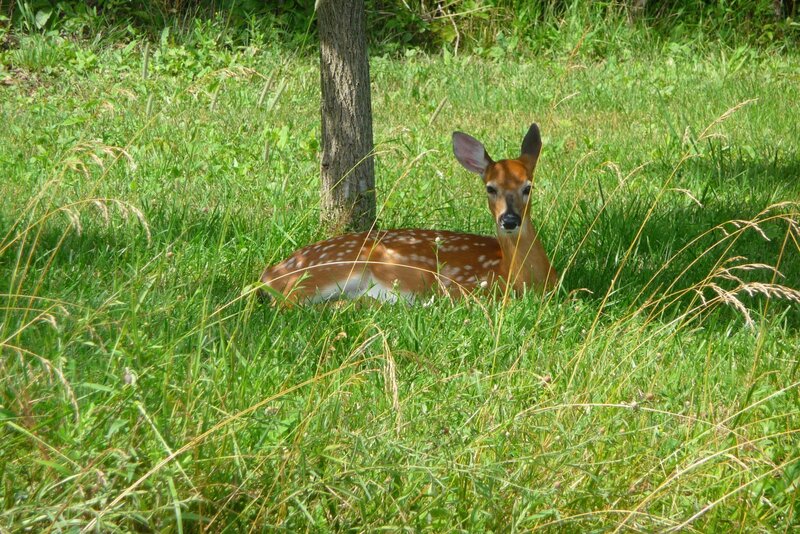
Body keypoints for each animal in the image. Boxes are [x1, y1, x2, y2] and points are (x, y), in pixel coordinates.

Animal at [259, 124, 558, 304]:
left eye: (528, 187)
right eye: (490, 188)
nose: (509, 220)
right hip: (331, 270)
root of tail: (271, 273)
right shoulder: (463, 287)